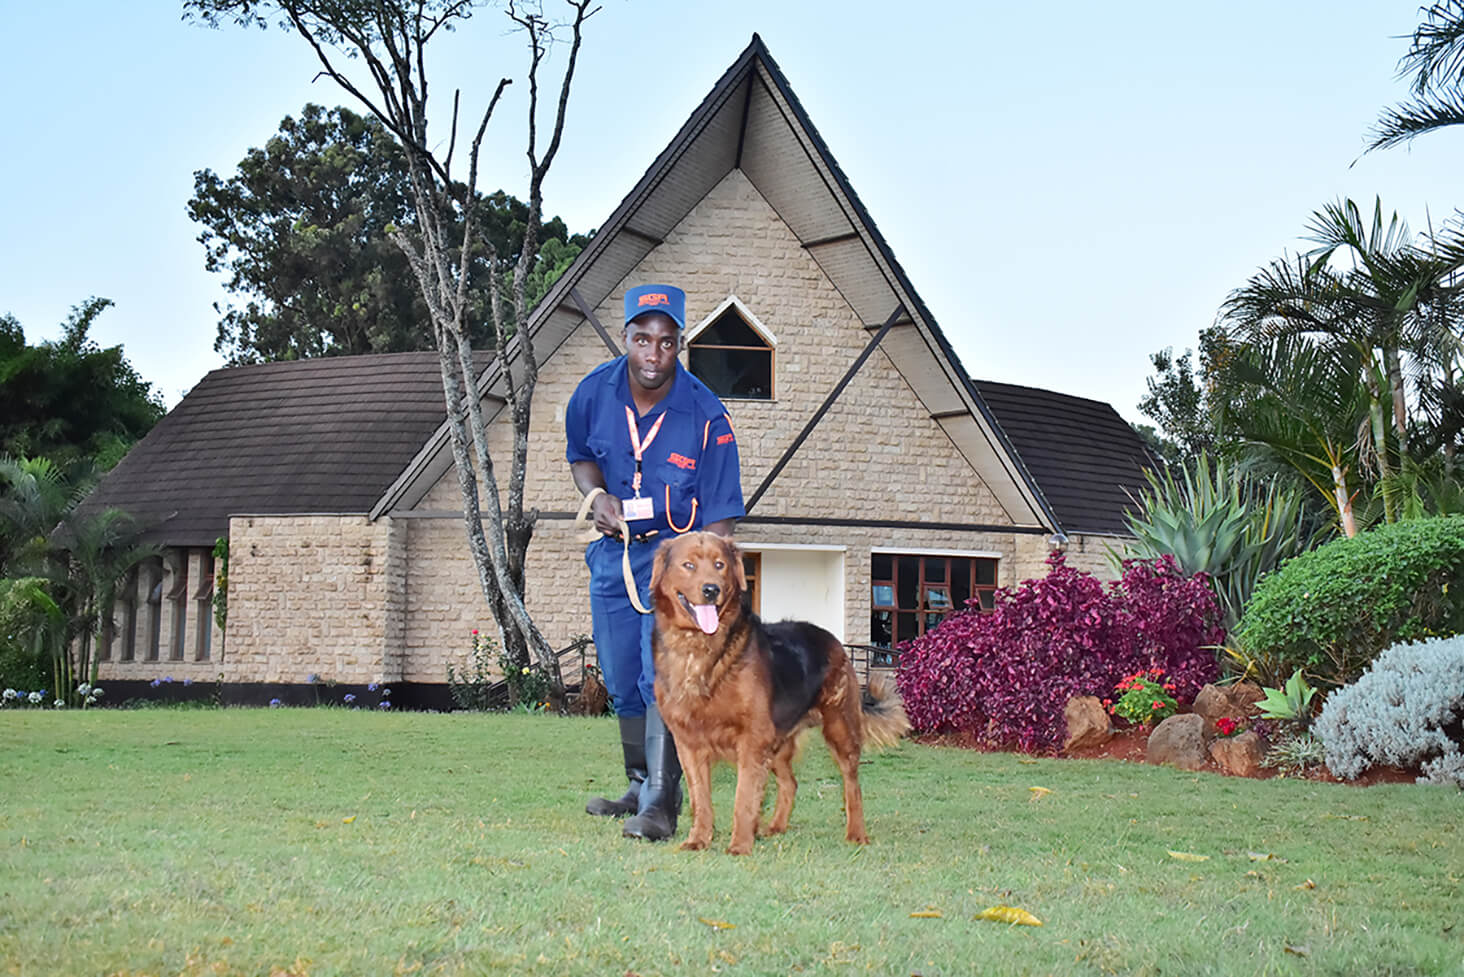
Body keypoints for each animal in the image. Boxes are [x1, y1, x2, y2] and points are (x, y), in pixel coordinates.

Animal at [650, 527, 907, 855]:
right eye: (689, 565)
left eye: (720, 565)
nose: (711, 590)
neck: (698, 649)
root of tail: (832, 639)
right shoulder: (688, 742)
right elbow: (700, 799)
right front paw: (699, 839)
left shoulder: (752, 738)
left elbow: (744, 798)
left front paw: (739, 845)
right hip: (778, 745)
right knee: (790, 783)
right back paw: (775, 827)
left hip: (839, 729)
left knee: (852, 785)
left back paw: (856, 833)